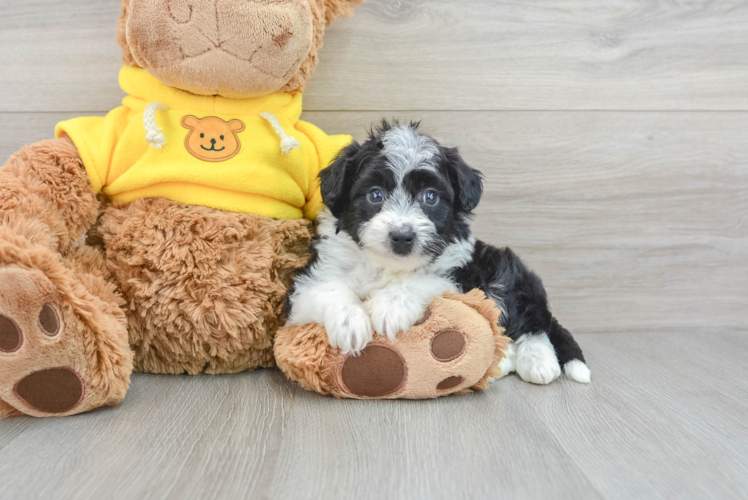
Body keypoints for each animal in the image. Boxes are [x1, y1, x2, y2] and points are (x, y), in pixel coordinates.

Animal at [286, 122, 592, 386]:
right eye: (375, 195)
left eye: (430, 197)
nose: (402, 236)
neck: (387, 266)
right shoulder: (305, 286)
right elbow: (328, 288)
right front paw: (349, 322)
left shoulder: (459, 274)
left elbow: (422, 280)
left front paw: (390, 307)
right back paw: (503, 363)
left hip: (505, 270)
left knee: (533, 322)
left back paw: (538, 362)